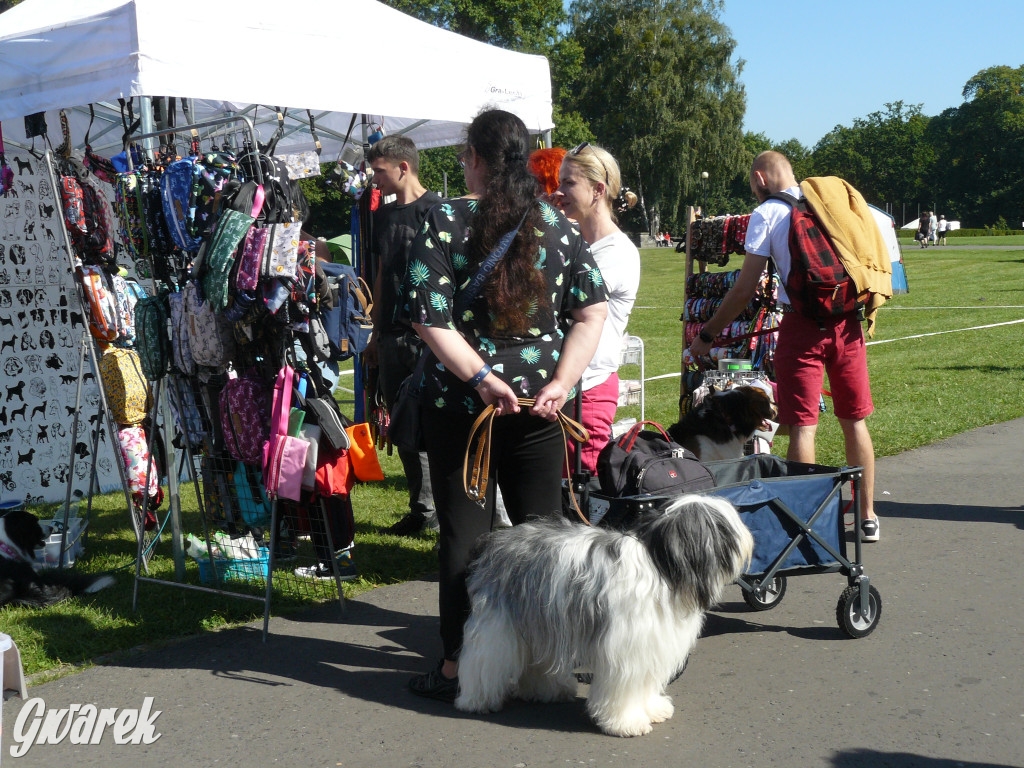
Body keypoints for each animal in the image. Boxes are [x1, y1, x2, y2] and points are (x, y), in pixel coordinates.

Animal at [456, 495, 753, 737]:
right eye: (726, 528)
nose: (750, 538)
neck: (663, 569)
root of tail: (496, 541)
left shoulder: (651, 646)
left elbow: (647, 685)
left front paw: (654, 709)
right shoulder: (628, 651)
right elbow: (627, 689)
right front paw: (628, 723)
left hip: (541, 621)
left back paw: (546, 691)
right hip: (500, 624)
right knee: (482, 660)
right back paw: (475, 700)